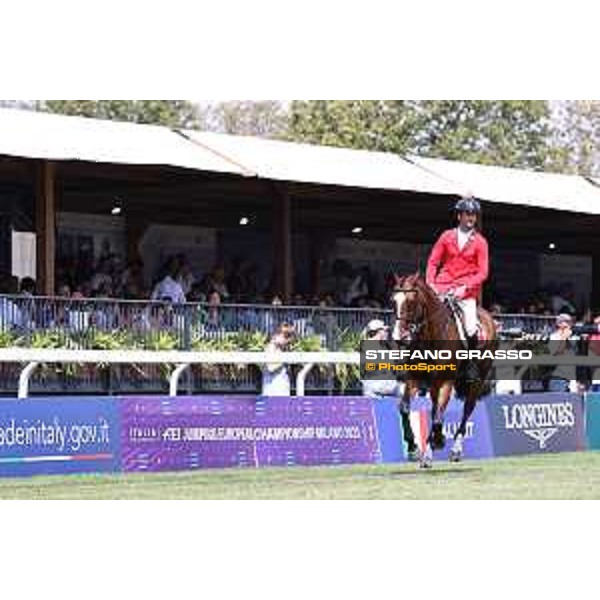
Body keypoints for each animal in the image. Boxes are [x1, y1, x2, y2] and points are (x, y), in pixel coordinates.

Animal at [390, 274, 496, 468]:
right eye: (393, 301)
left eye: (411, 301)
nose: (399, 338)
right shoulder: (414, 379)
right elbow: (405, 408)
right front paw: (413, 448)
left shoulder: (446, 381)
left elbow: (439, 417)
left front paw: (438, 440)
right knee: (434, 409)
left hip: (477, 382)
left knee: (467, 409)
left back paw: (455, 450)